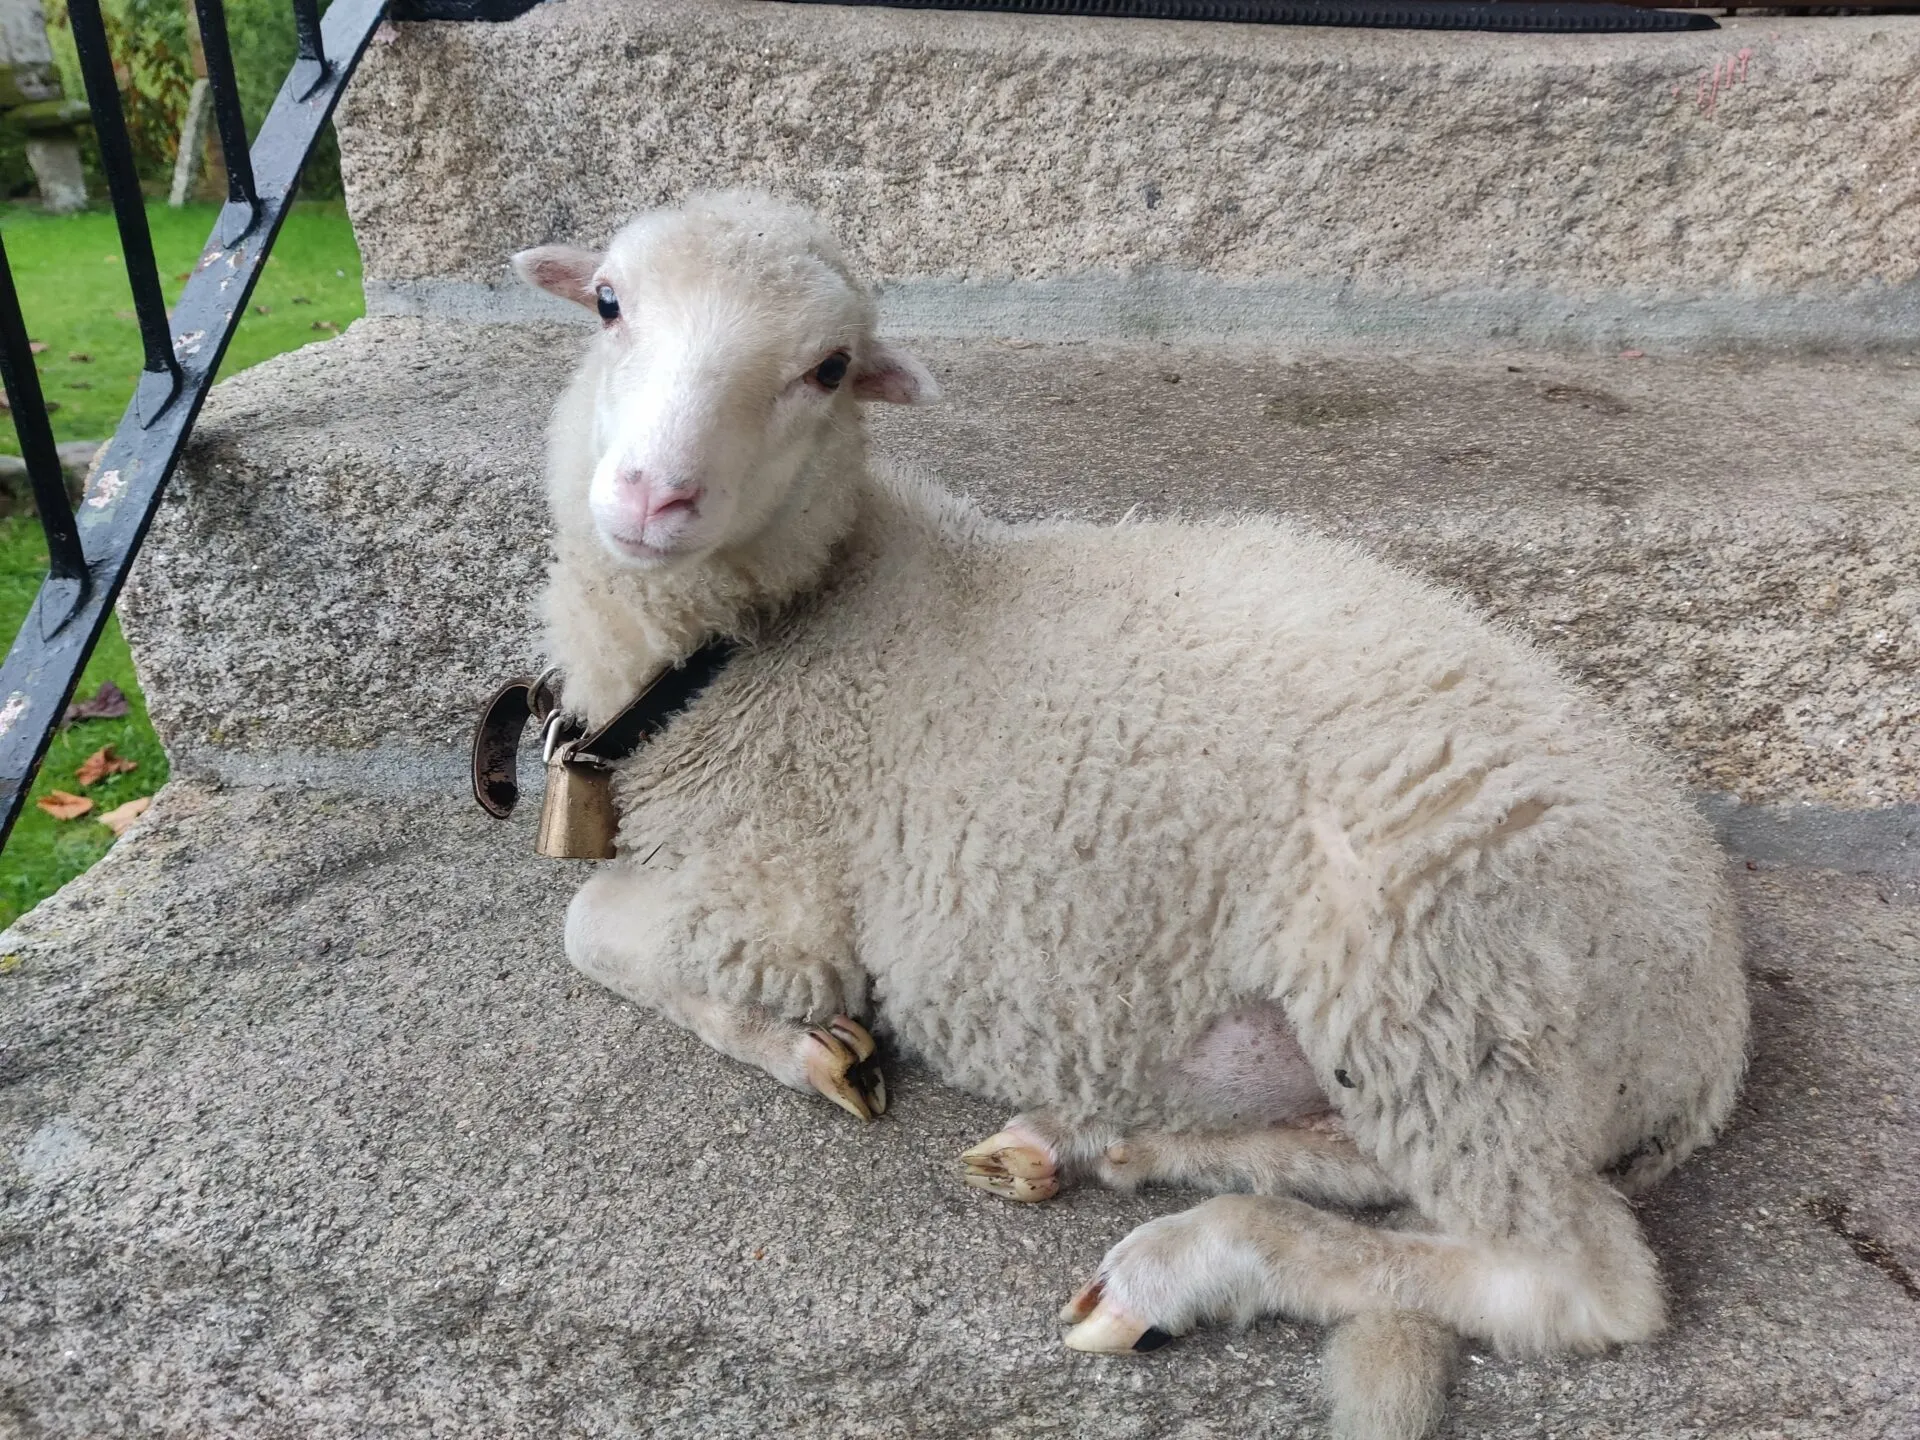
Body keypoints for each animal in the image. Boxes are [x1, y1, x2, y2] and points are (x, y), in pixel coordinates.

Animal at [509, 191, 1749, 1440]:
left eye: (828, 368)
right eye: (609, 304)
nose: (652, 496)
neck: (766, 639)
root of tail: (1714, 1034)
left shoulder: (780, 899)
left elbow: (588, 929)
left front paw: (809, 1047)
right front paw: (820, 1052)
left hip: (1439, 975)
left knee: (1569, 1278)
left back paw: (1187, 1263)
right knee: (1372, 1162)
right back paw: (1094, 1142)